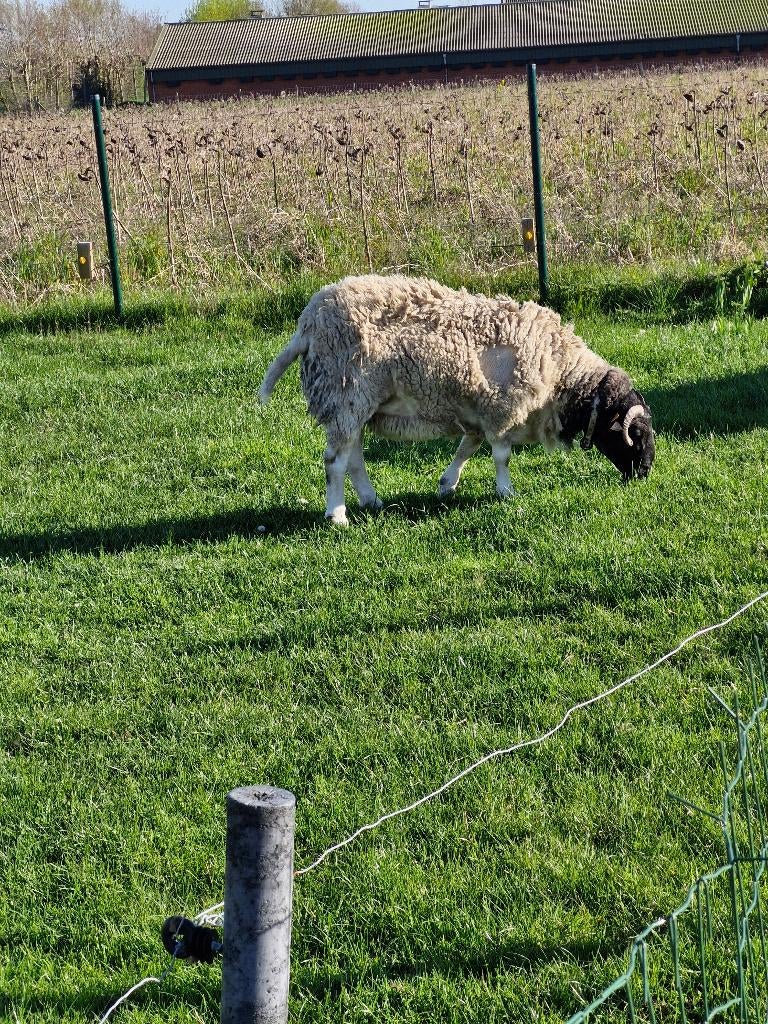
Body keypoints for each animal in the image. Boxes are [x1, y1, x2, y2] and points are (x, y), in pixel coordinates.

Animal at [259, 274, 655, 525]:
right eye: (633, 434)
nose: (646, 473)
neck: (560, 372)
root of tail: (308, 323)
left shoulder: (480, 409)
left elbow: (468, 447)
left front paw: (447, 484)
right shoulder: (501, 408)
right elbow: (501, 455)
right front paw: (506, 492)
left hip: (356, 404)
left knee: (353, 456)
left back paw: (371, 500)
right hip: (346, 395)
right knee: (334, 461)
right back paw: (336, 515)